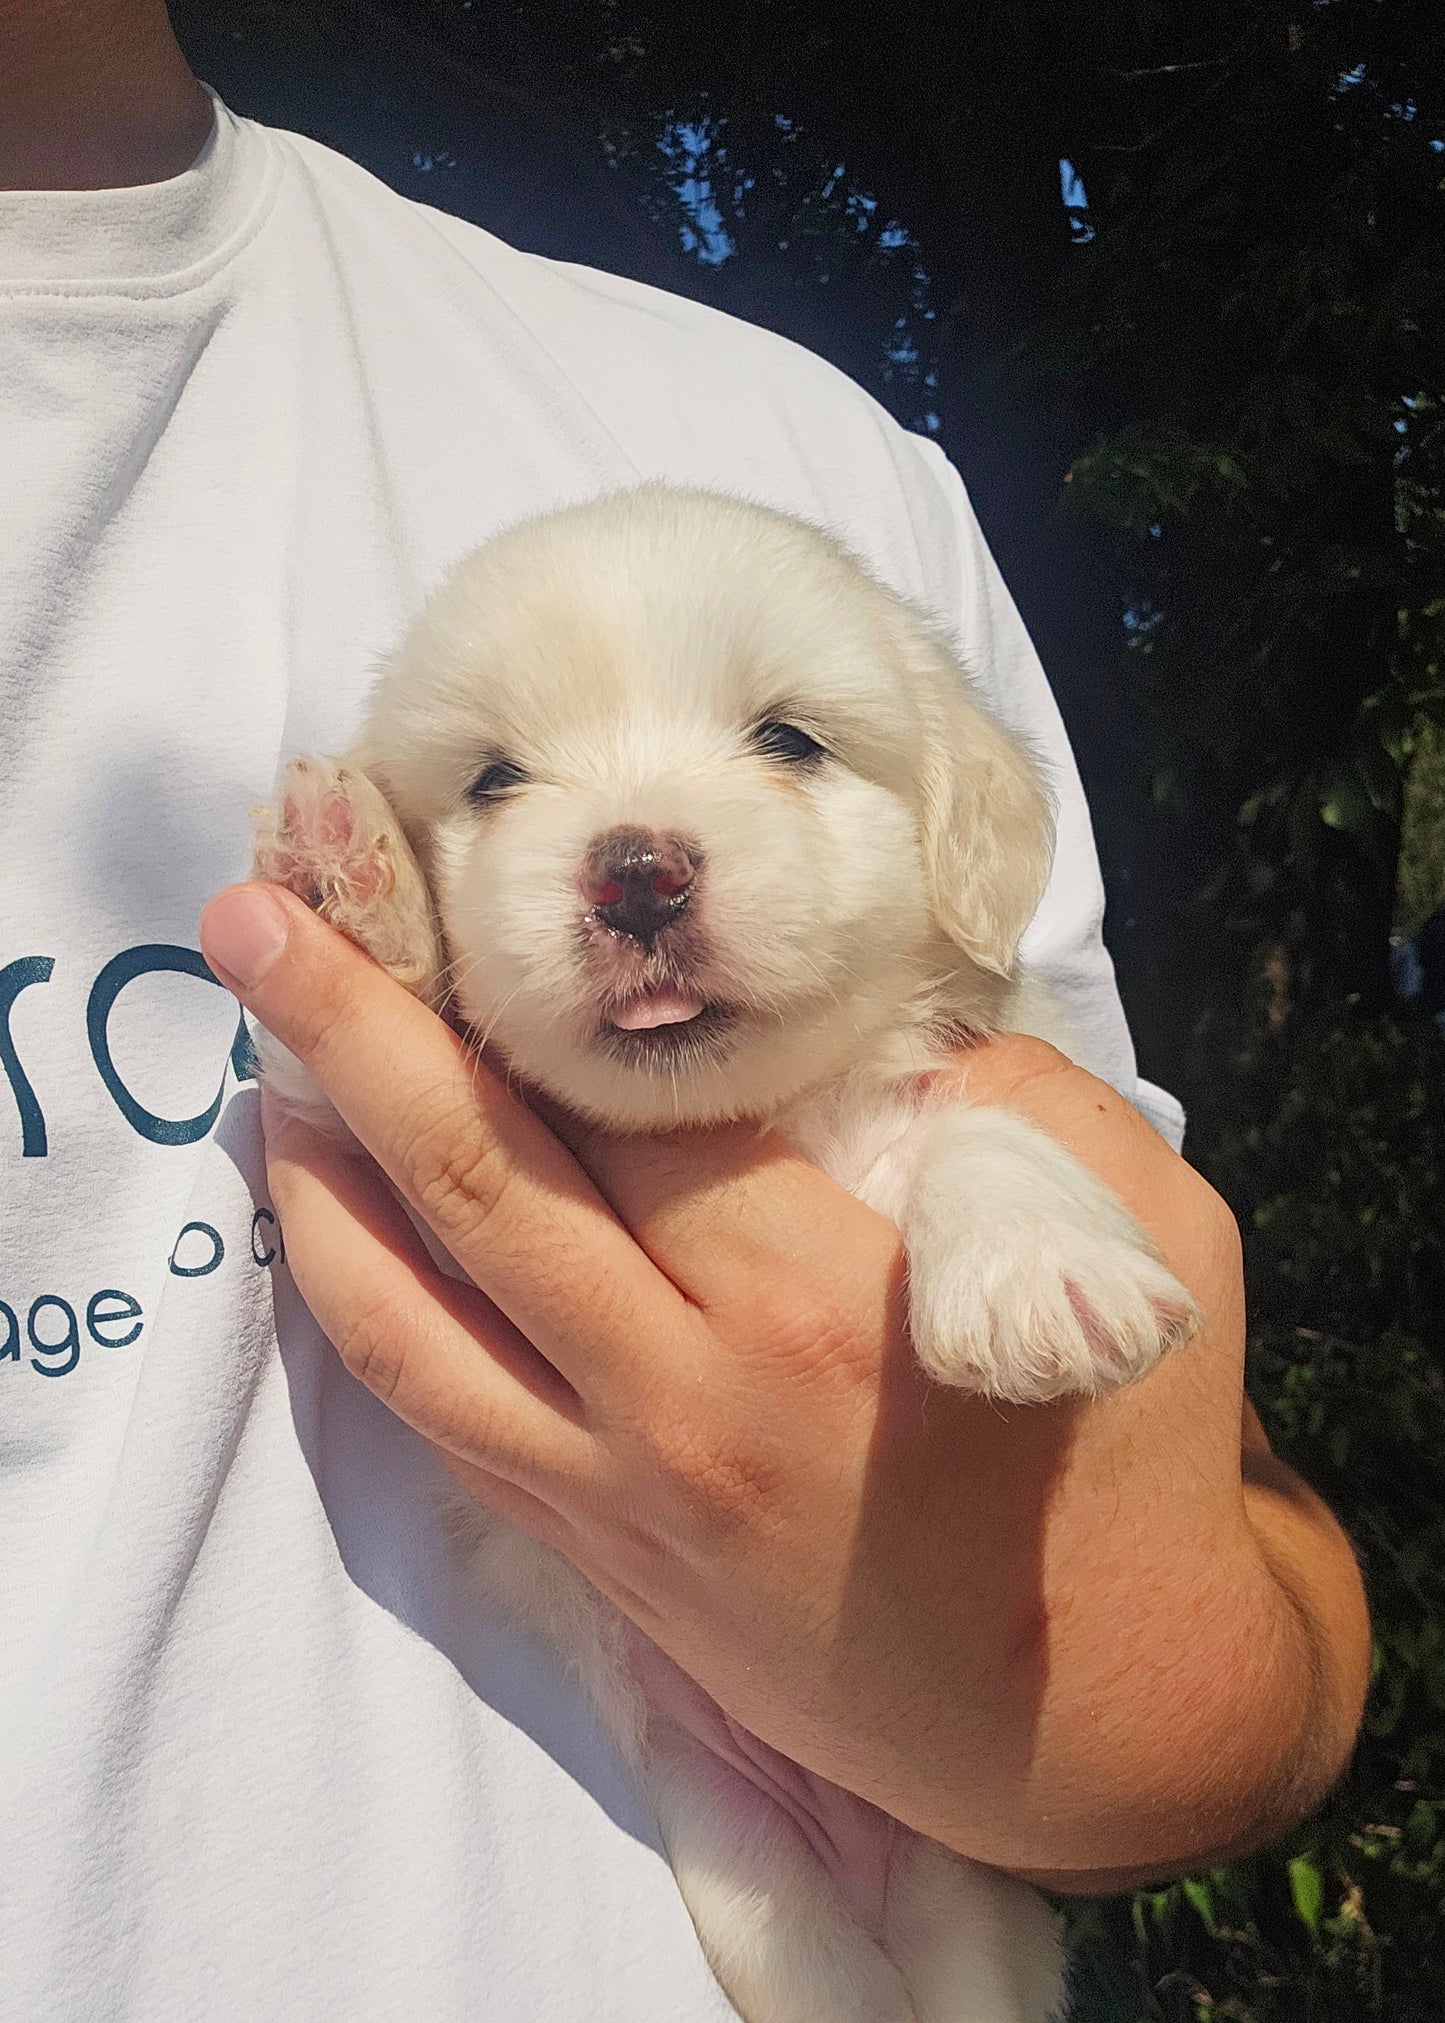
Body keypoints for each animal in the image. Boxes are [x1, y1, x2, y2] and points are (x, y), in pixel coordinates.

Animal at [250, 493, 1190, 2023]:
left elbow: (971, 1134)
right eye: (494, 778)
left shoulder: (942, 1101)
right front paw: (352, 871)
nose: (635, 868)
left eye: (790, 740)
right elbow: (340, 1079)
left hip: (979, 1934)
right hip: (760, 1898)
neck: (750, 1116)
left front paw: (1037, 1271)